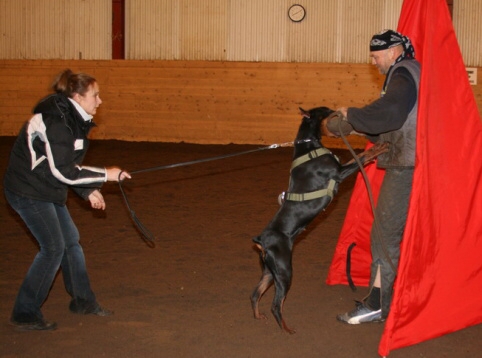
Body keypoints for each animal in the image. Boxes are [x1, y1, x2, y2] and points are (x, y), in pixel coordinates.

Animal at [250, 105, 390, 332]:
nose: (338, 111)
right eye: (326, 110)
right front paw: (380, 147)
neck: (309, 146)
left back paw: (258, 316)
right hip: (284, 270)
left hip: (270, 271)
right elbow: (362, 156)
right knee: (275, 304)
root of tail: (261, 240)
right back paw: (287, 329)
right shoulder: (339, 173)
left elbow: (359, 157)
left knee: (255, 294)